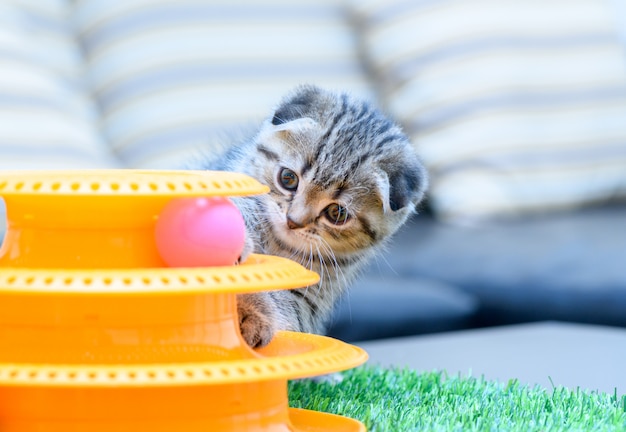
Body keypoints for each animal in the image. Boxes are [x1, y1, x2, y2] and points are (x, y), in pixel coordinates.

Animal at [193, 84, 426, 348]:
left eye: (336, 213)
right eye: (288, 179)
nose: (293, 221)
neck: (277, 245)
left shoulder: (308, 302)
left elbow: (280, 297)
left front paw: (253, 313)